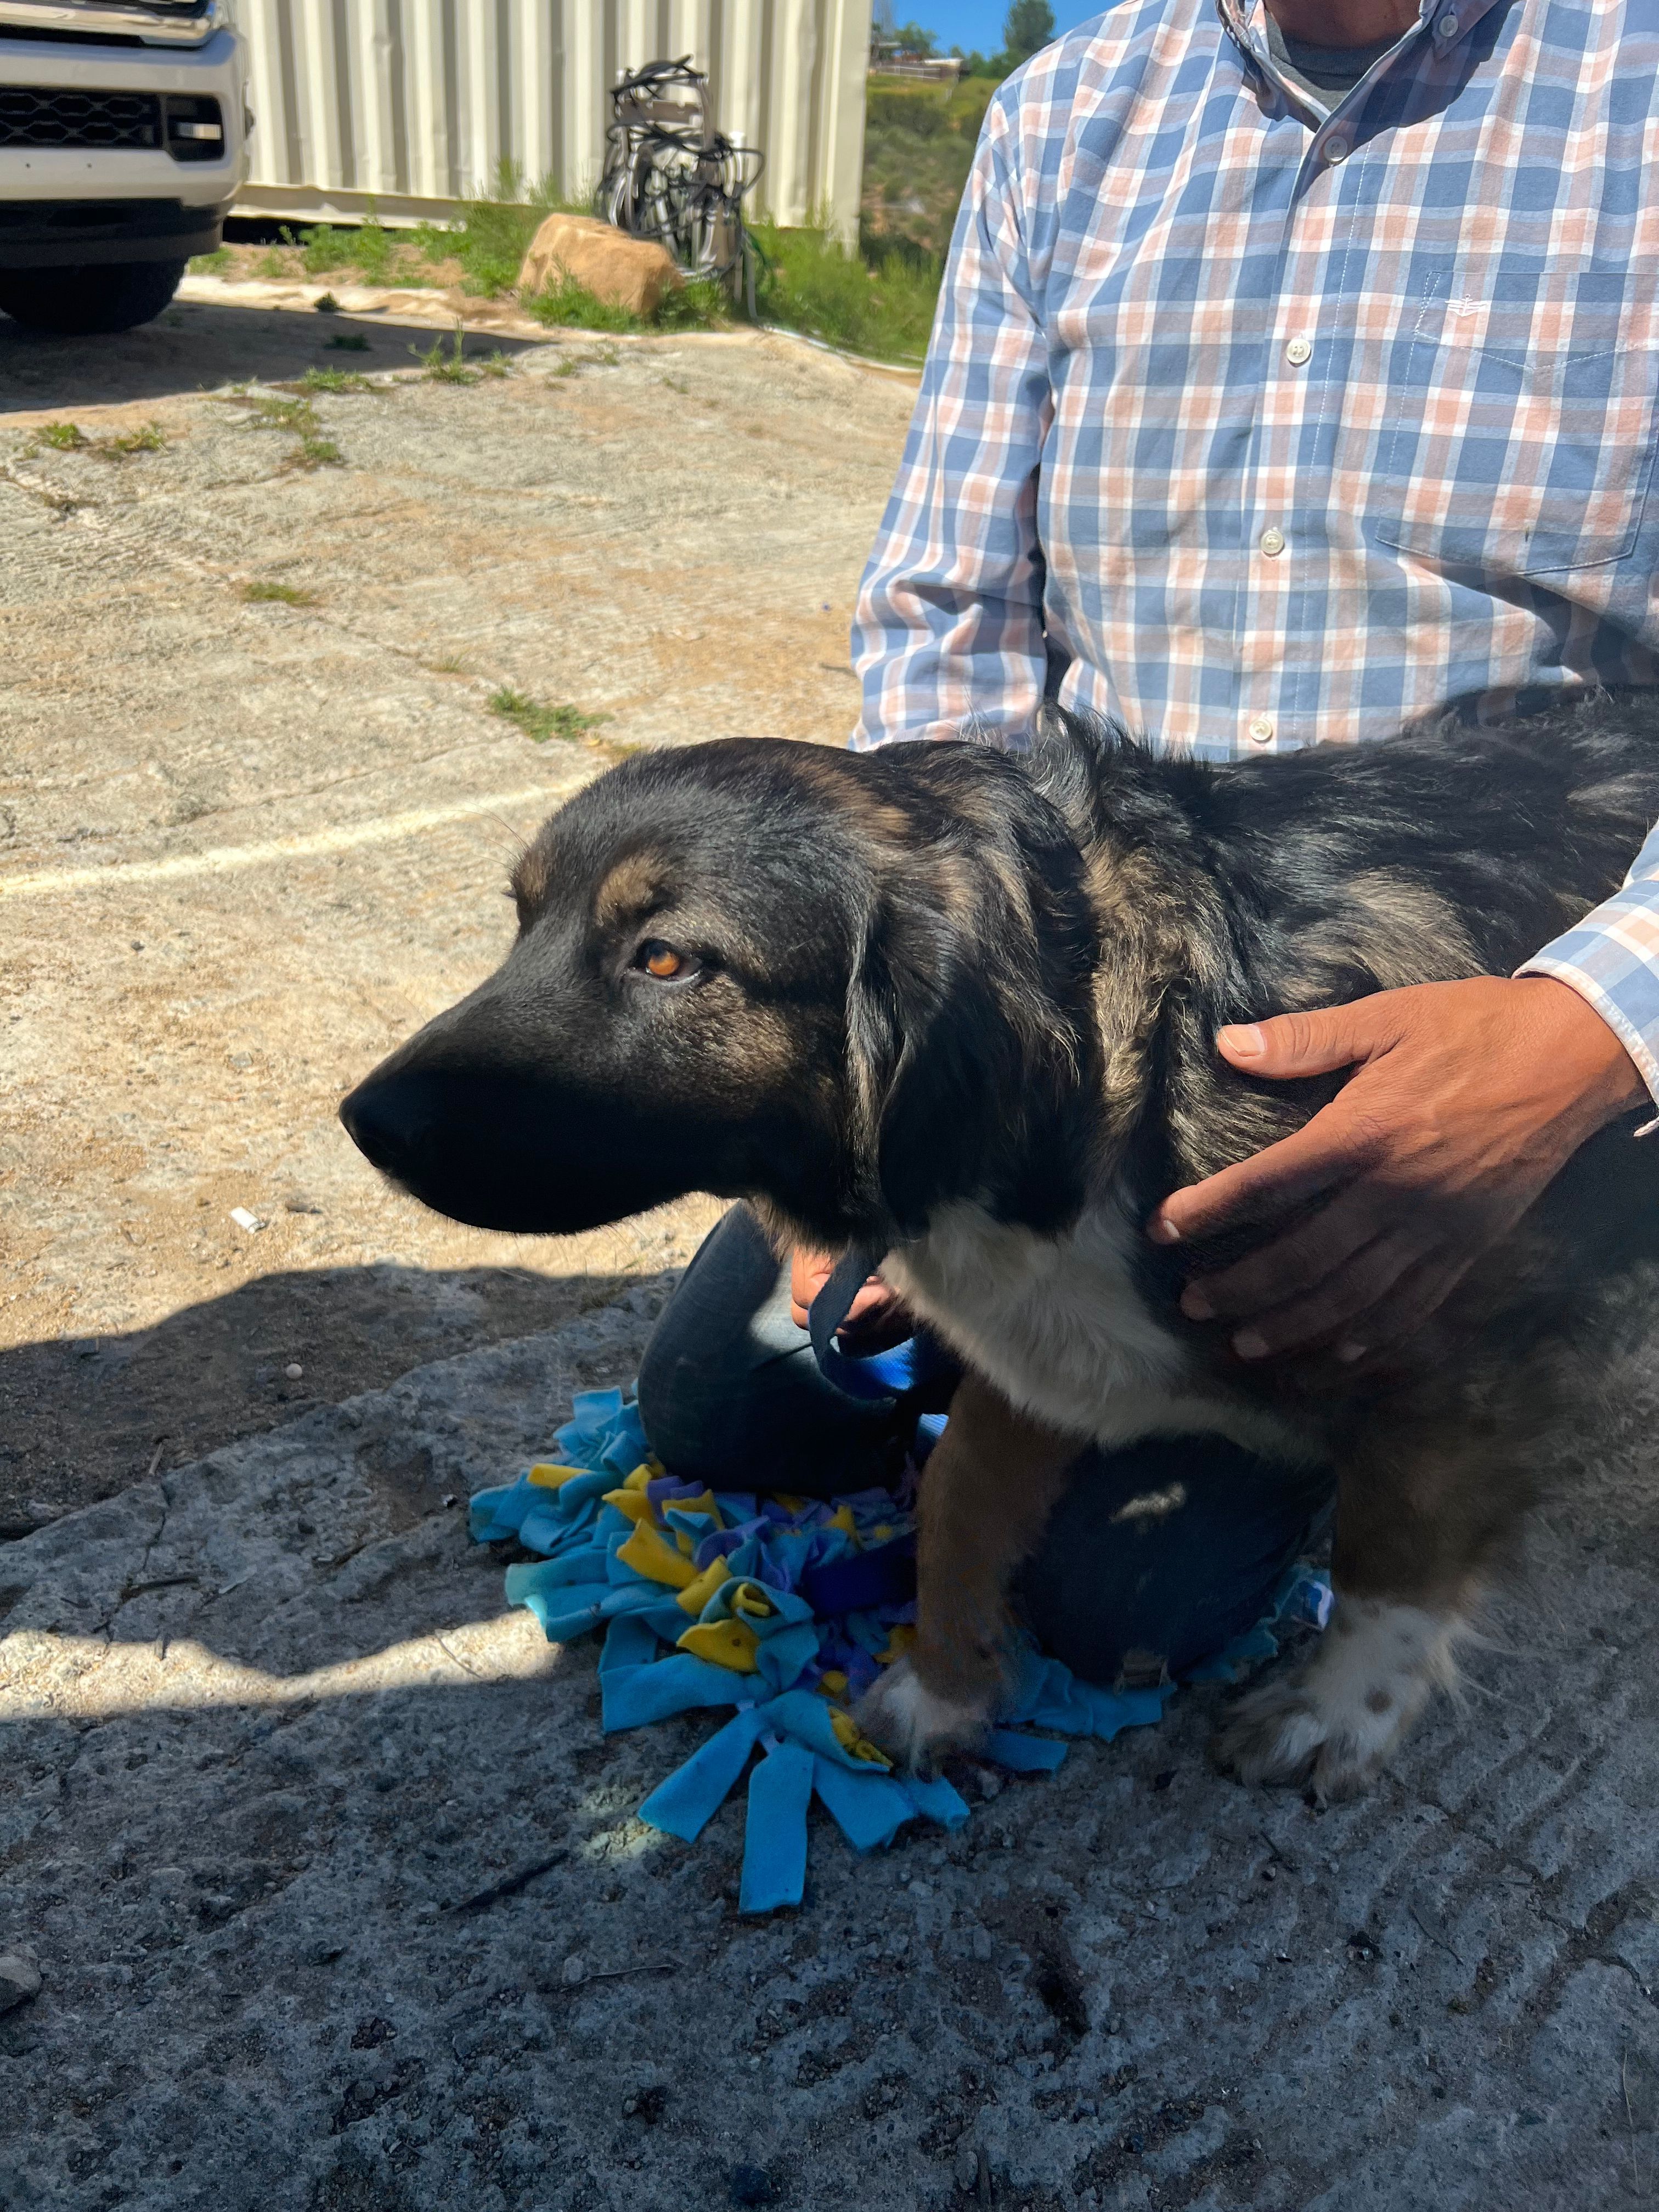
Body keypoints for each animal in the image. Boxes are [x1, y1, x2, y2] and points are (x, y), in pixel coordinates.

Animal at [338, 703, 1659, 1796]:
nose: (364, 1122)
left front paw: (1335, 1714)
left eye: (666, 959)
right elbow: (958, 1500)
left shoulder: (1457, 1345)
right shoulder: (1043, 1335)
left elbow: (1392, 1563)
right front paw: (944, 1687)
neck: (1124, 1052)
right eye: (522, 922)